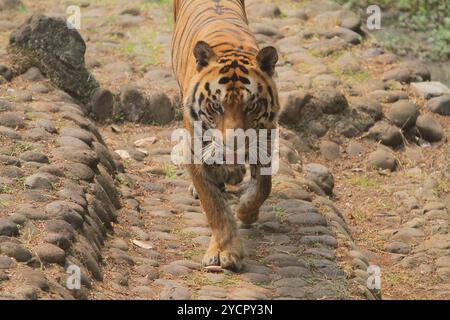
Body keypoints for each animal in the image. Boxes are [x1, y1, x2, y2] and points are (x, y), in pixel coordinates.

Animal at [171, 0, 280, 272]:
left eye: (251, 106)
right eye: (216, 107)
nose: (234, 143)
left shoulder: (266, 140)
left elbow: (263, 187)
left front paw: (246, 213)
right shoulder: (196, 153)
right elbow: (215, 208)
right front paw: (224, 252)